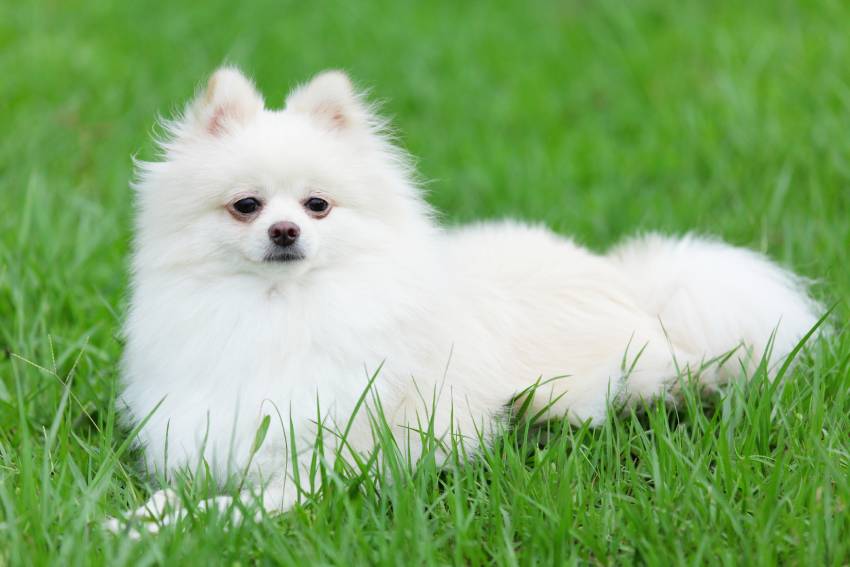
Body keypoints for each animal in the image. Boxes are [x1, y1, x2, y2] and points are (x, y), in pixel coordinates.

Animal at [114, 66, 820, 532]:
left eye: (317, 205)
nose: (285, 231)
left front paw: (182, 526)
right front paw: (138, 520)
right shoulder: (210, 438)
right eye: (246, 206)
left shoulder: (326, 462)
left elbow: (237, 506)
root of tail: (631, 283)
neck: (279, 310)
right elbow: (177, 495)